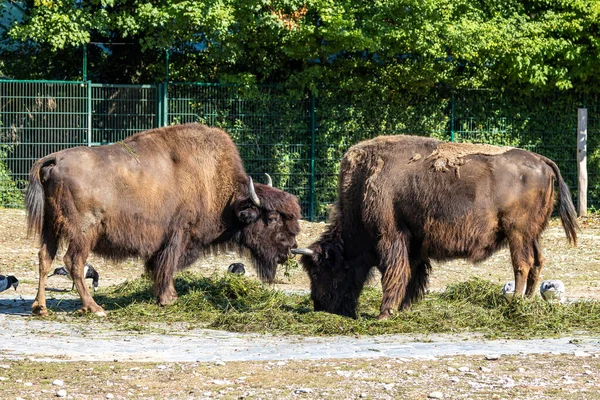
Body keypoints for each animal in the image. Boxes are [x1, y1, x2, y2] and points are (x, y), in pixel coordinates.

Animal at [26, 123, 302, 318]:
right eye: (273, 217)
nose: (290, 249)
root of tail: (55, 159)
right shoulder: (178, 236)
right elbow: (167, 266)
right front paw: (170, 298)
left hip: (51, 227)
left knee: (44, 257)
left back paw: (40, 308)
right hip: (84, 232)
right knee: (73, 262)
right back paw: (95, 308)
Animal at [292, 136, 580, 320]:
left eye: (320, 271)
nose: (320, 305)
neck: (363, 185)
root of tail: (542, 160)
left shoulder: (392, 237)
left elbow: (394, 273)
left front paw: (385, 313)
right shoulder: (414, 243)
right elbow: (412, 275)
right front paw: (404, 308)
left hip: (517, 233)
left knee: (522, 264)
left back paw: (514, 304)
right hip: (532, 234)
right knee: (537, 262)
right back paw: (528, 301)